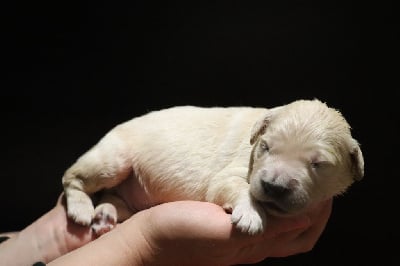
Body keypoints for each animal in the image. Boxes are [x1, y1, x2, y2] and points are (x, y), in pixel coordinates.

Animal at [61, 99, 362, 235]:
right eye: (266, 147)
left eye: (318, 164)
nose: (273, 187)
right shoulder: (229, 173)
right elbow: (239, 188)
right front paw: (251, 215)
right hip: (114, 160)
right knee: (72, 178)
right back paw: (82, 210)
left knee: (113, 198)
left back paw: (106, 214)